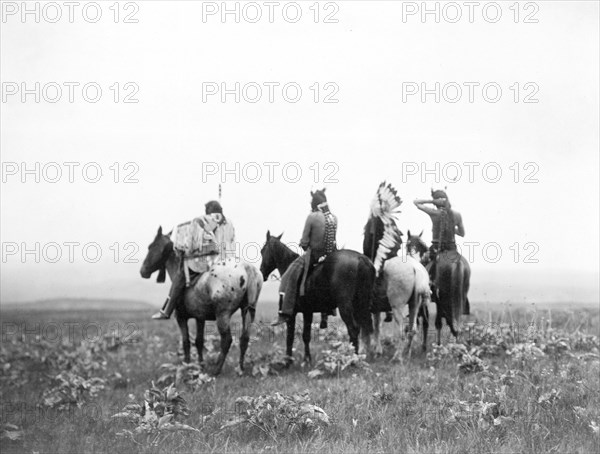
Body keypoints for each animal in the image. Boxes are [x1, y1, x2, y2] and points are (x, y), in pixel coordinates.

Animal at [142, 225, 264, 374]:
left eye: (151, 247)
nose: (143, 271)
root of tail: (247, 267)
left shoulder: (181, 318)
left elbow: (186, 342)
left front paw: (187, 364)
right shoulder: (200, 317)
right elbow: (199, 341)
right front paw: (200, 364)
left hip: (222, 314)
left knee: (227, 340)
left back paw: (216, 370)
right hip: (246, 311)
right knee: (244, 339)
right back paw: (240, 368)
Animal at [258, 232, 372, 364]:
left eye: (263, 250)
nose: (262, 273)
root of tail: (361, 259)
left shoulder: (292, 314)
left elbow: (290, 337)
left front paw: (288, 361)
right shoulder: (308, 312)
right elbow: (306, 336)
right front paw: (307, 359)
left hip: (345, 307)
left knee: (353, 329)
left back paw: (352, 359)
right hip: (360, 305)